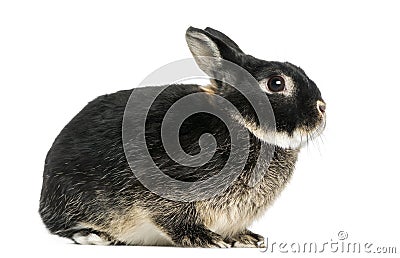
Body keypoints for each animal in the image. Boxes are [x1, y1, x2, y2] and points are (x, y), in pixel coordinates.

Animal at [38, 26, 324, 248]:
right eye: (276, 83)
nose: (322, 108)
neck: (238, 121)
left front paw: (246, 238)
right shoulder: (167, 188)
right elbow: (172, 216)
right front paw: (205, 239)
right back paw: (94, 236)